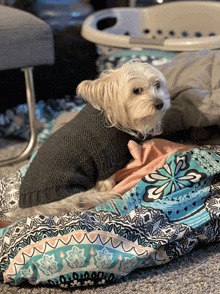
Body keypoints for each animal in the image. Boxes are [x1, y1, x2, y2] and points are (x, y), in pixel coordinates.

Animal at [9, 58, 171, 222]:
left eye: (157, 84)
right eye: (136, 90)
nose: (160, 104)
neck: (111, 115)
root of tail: (30, 208)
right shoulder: (106, 165)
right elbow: (108, 183)